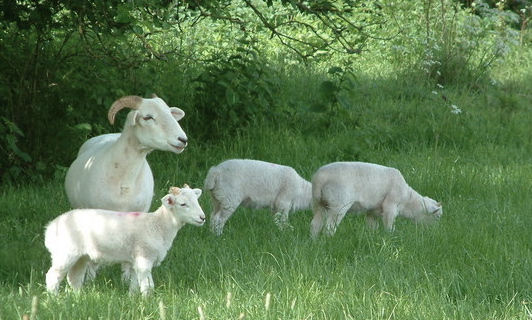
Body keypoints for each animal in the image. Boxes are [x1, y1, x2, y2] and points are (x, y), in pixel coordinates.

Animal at [44, 185, 206, 296]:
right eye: (183, 204)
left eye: (197, 200)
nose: (202, 217)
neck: (159, 225)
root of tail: (49, 229)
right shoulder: (144, 258)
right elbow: (147, 286)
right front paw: (147, 301)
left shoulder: (136, 262)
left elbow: (135, 284)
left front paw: (132, 299)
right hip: (65, 253)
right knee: (53, 276)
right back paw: (55, 298)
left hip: (81, 256)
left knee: (74, 277)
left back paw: (79, 297)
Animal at [310, 162, 442, 238]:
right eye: (438, 217)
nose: (436, 232)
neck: (407, 200)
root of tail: (319, 178)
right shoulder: (391, 205)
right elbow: (389, 223)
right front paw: (391, 237)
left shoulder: (372, 211)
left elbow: (372, 226)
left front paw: (372, 237)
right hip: (338, 205)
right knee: (329, 228)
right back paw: (329, 240)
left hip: (319, 204)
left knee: (315, 224)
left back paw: (314, 241)